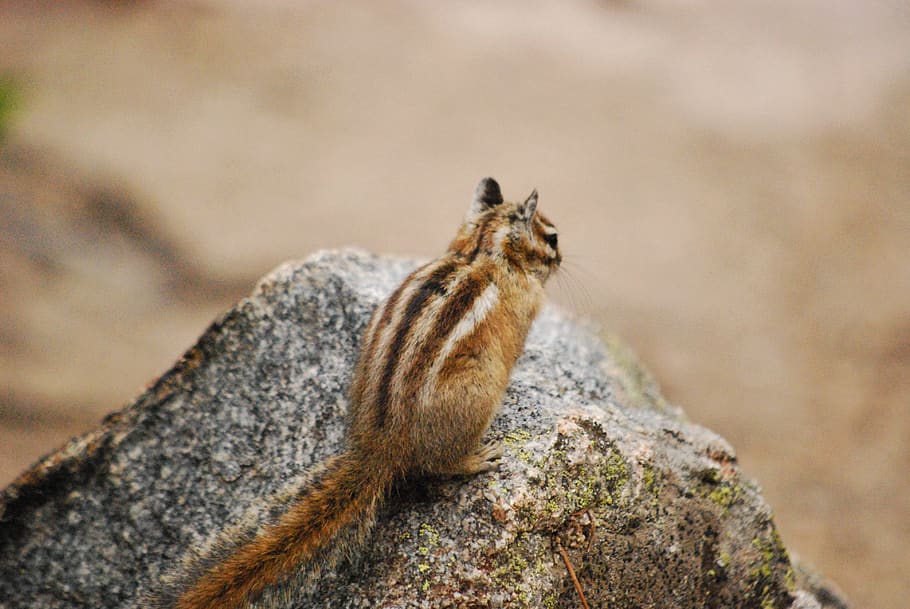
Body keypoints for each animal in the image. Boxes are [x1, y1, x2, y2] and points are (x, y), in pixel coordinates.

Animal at [156, 177, 561, 609]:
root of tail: (380, 447)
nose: (561, 256)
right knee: (440, 465)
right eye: (552, 237)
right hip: (477, 396)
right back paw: (477, 458)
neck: (483, 248)